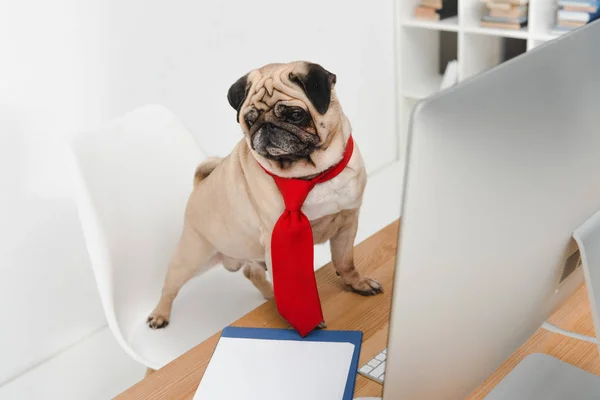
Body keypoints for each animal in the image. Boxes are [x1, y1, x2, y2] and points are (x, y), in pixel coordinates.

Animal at [150, 60, 384, 328]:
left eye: (295, 115)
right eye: (249, 120)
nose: (266, 125)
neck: (311, 176)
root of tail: (199, 185)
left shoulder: (347, 222)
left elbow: (345, 262)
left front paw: (357, 283)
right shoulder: (281, 244)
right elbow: (294, 285)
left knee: (251, 271)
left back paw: (270, 294)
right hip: (192, 255)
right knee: (170, 286)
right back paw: (159, 315)